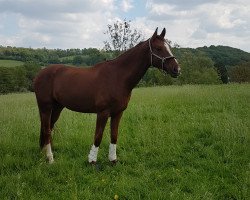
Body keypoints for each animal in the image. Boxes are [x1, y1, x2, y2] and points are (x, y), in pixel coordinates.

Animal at [34, 27, 181, 163]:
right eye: (158, 48)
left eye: (169, 47)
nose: (177, 69)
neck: (117, 76)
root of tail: (40, 73)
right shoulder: (103, 113)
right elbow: (98, 136)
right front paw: (92, 161)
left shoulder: (118, 113)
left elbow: (114, 135)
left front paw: (113, 160)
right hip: (45, 107)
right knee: (47, 129)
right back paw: (50, 158)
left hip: (57, 107)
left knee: (49, 128)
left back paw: (45, 153)